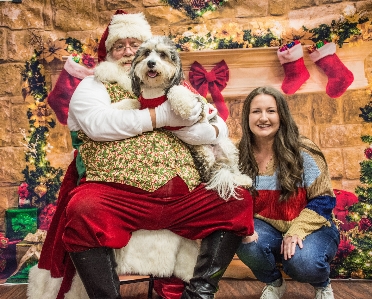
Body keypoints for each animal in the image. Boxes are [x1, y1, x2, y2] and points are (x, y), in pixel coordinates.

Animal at [113, 36, 253, 200]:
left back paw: (243, 180)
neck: (154, 91)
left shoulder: (198, 104)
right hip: (207, 154)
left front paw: (185, 107)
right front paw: (116, 106)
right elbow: (132, 102)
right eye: (146, 53)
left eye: (162, 55)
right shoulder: (143, 104)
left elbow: (175, 90)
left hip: (224, 147)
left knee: (231, 169)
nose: (150, 63)